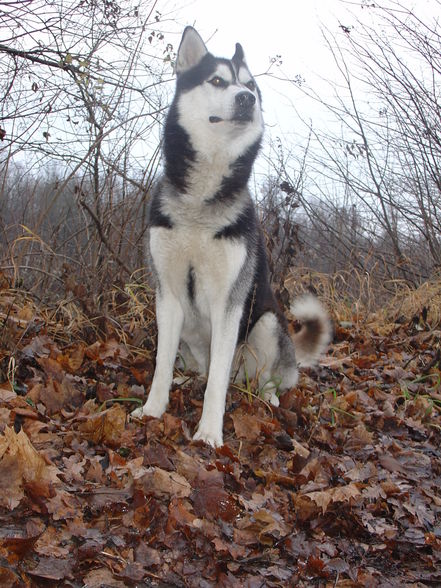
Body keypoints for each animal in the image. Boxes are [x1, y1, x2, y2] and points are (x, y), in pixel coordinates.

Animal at [132, 27, 332, 448]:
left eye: (250, 85)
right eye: (218, 81)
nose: (247, 99)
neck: (201, 203)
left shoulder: (229, 302)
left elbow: (218, 385)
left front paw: (208, 432)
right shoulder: (168, 295)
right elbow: (160, 364)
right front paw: (153, 410)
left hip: (268, 323)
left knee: (266, 378)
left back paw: (268, 396)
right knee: (199, 370)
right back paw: (187, 379)